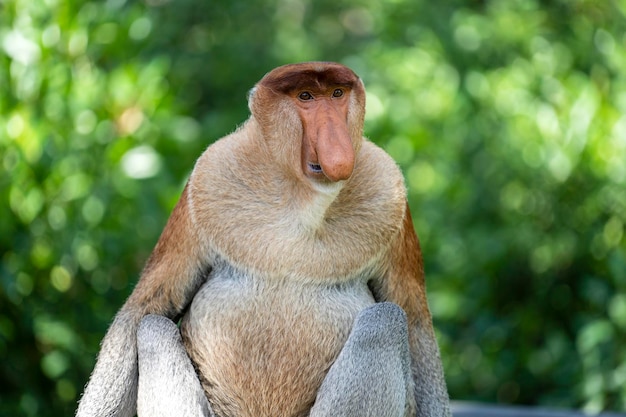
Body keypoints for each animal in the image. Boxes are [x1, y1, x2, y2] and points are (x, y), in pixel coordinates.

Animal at [77, 61, 448, 416]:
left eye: (337, 94)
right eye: (306, 97)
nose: (337, 147)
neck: (301, 197)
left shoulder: (391, 196)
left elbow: (414, 321)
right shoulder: (205, 181)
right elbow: (146, 307)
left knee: (385, 320)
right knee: (153, 328)